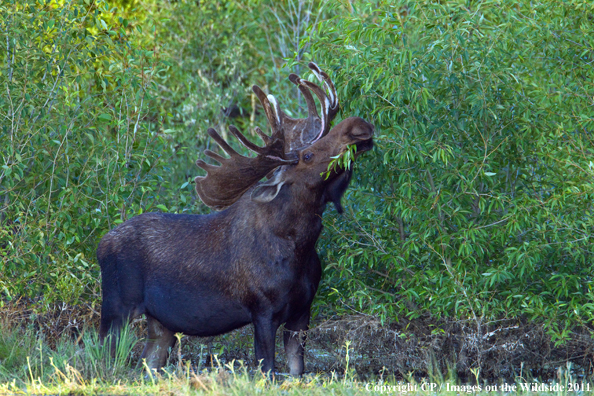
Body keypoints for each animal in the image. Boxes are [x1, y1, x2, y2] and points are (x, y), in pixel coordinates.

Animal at [99, 63, 372, 376]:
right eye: (307, 155)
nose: (356, 125)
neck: (300, 245)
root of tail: (101, 245)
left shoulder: (303, 312)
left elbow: (296, 370)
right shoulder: (263, 310)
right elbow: (267, 369)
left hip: (160, 323)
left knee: (148, 363)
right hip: (116, 308)